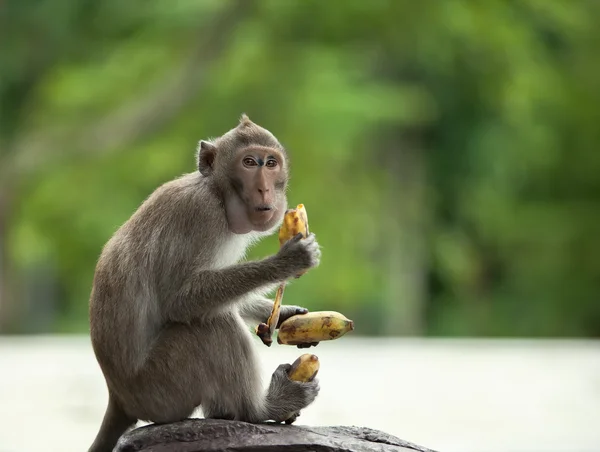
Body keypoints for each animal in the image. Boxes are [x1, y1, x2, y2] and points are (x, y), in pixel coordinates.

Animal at [86, 115, 322, 450]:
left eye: (271, 163)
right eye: (249, 162)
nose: (264, 189)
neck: (217, 194)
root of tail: (119, 398)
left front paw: (282, 314)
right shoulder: (200, 215)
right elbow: (182, 299)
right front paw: (287, 262)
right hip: (161, 388)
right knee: (211, 325)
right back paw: (261, 409)